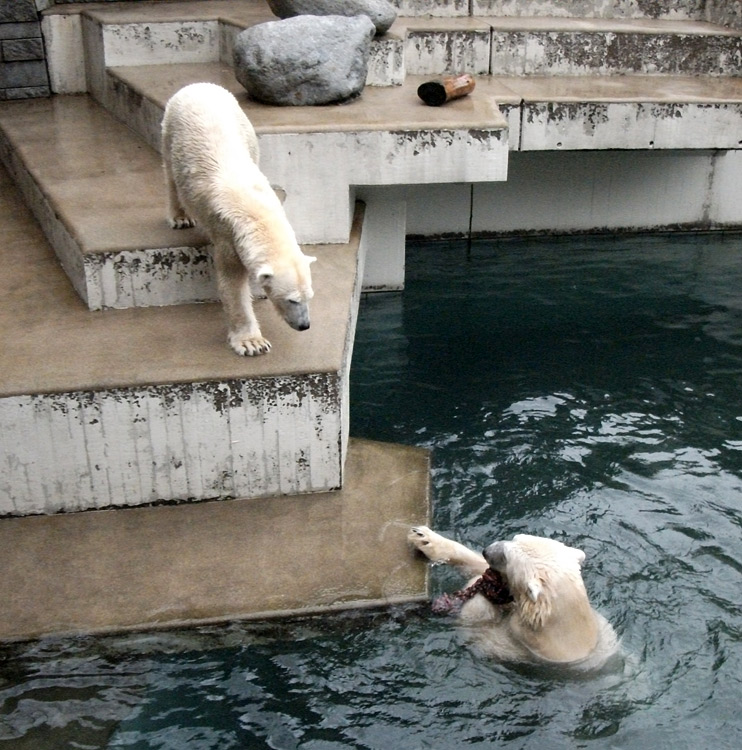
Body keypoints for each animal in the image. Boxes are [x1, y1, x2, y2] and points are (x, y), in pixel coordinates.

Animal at [161, 82, 316, 358]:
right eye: (292, 300)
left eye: (309, 296)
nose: (304, 325)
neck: (257, 213)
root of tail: (198, 85)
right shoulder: (227, 236)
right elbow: (232, 285)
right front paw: (252, 342)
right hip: (171, 126)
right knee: (169, 170)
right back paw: (179, 217)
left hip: (244, 124)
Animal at [410, 528, 620, 668]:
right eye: (514, 537)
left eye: (506, 556)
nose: (487, 549)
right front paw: (425, 539)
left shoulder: (527, 650)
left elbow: (483, 635)